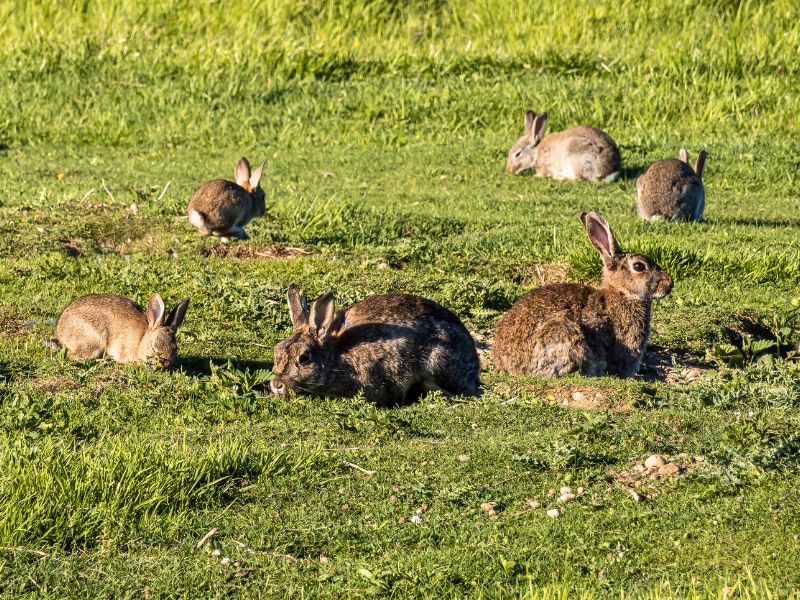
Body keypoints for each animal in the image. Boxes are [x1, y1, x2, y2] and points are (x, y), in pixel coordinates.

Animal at [55, 292, 190, 368]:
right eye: (153, 348)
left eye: (175, 349)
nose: (165, 365)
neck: (141, 341)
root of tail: (61, 332)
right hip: (93, 341)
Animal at [268, 284, 482, 406]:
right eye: (277, 351)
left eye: (304, 358)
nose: (276, 385)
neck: (335, 356)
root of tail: (474, 365)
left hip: (437, 363)